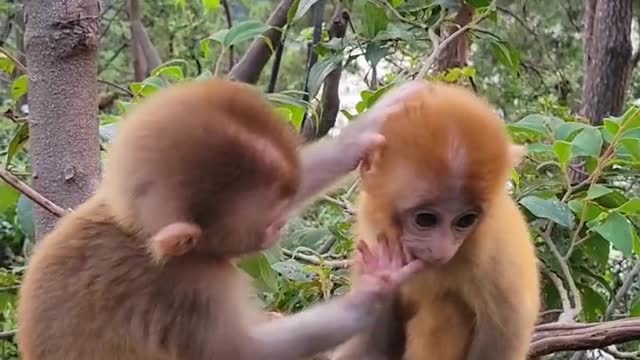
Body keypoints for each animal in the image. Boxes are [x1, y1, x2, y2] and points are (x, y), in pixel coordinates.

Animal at [17, 79, 428, 360]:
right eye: (270, 222)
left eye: (283, 206)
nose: (279, 230)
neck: (137, 231)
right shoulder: (192, 286)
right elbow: (242, 353)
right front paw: (374, 291)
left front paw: (371, 124)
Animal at [330, 82, 540, 360]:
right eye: (426, 219)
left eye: (466, 220)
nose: (441, 250)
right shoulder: (373, 233)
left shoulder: (495, 251)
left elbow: (506, 328)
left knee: (444, 309)